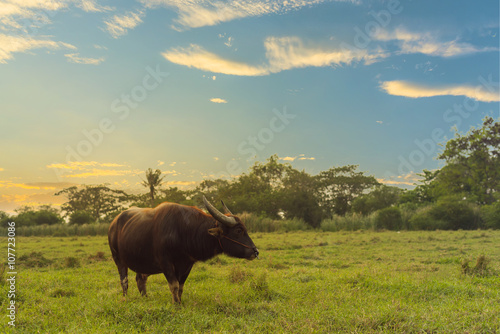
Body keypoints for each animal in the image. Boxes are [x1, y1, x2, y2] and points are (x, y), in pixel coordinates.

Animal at [108, 196, 260, 302]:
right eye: (239, 231)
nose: (255, 251)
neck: (183, 230)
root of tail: (113, 223)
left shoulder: (187, 265)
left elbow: (180, 287)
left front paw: (180, 303)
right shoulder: (166, 263)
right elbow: (174, 286)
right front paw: (176, 305)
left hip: (143, 263)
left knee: (140, 279)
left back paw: (145, 299)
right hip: (118, 259)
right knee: (124, 281)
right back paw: (125, 298)